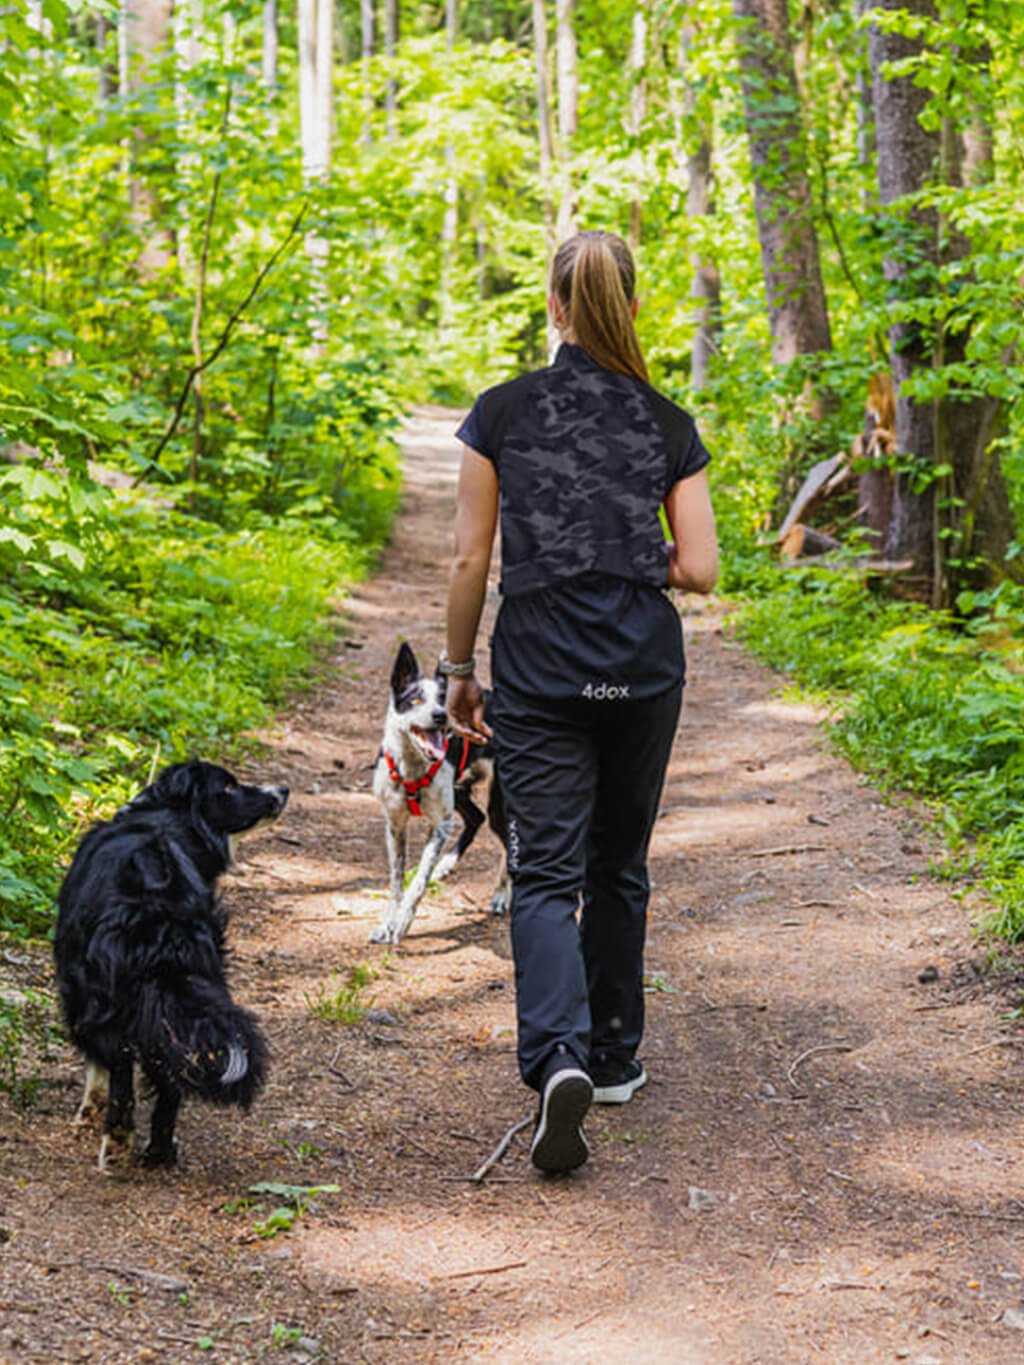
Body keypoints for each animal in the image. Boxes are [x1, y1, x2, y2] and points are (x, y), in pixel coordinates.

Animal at [55, 764, 289, 1168]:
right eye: (229, 786)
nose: (283, 790)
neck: (164, 814)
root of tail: (158, 911)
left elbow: (97, 1065)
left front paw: (90, 1110)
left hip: (109, 998)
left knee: (123, 1071)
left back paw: (116, 1146)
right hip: (186, 992)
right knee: (170, 1078)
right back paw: (160, 1150)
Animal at [374, 641, 510, 944]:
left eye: (443, 700)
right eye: (415, 700)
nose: (440, 715)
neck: (412, 767)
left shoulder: (439, 825)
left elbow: (418, 881)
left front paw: (402, 922)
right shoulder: (394, 825)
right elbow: (396, 880)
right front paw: (388, 922)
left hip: (497, 804)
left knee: (507, 839)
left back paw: (501, 894)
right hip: (458, 794)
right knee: (475, 818)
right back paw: (446, 864)